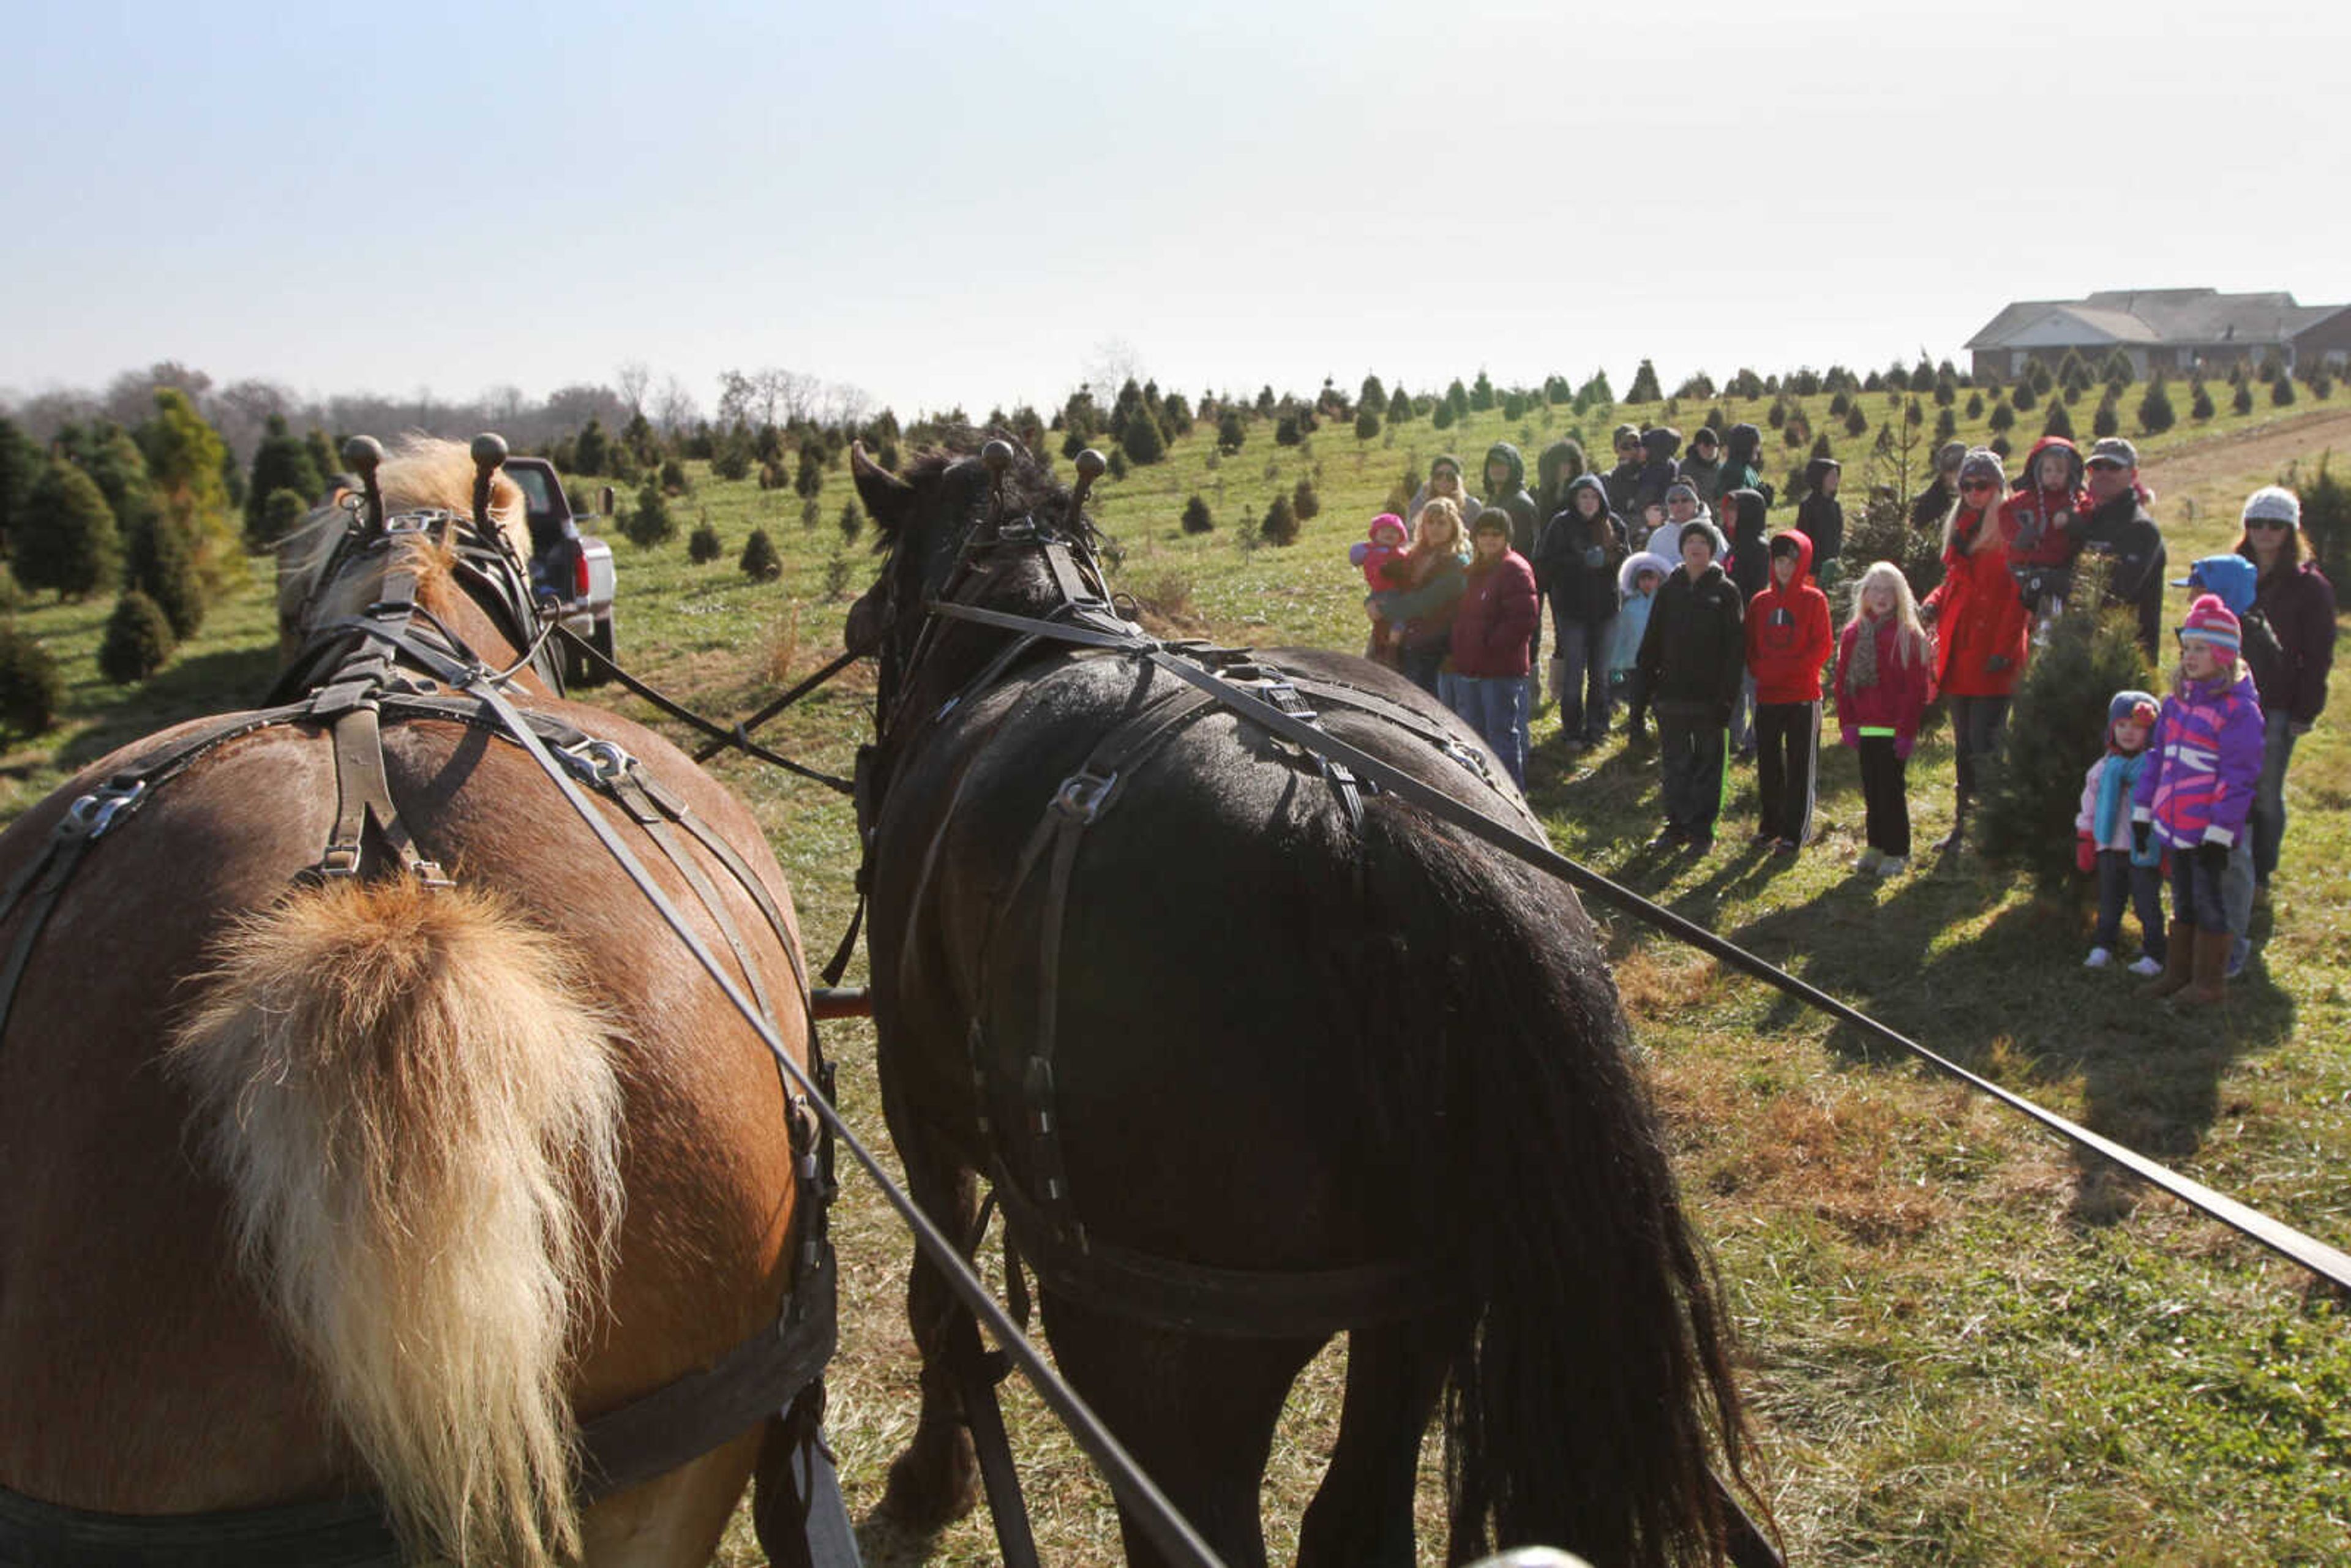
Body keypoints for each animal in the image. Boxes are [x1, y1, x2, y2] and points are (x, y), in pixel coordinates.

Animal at [846, 441, 1768, 1568]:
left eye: (888, 584)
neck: (1022, 634)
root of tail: (1363, 817)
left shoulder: (914, 1107)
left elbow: (936, 1300)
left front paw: (930, 1474)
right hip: (1418, 1305)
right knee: (1353, 1520)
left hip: (1163, 1356)